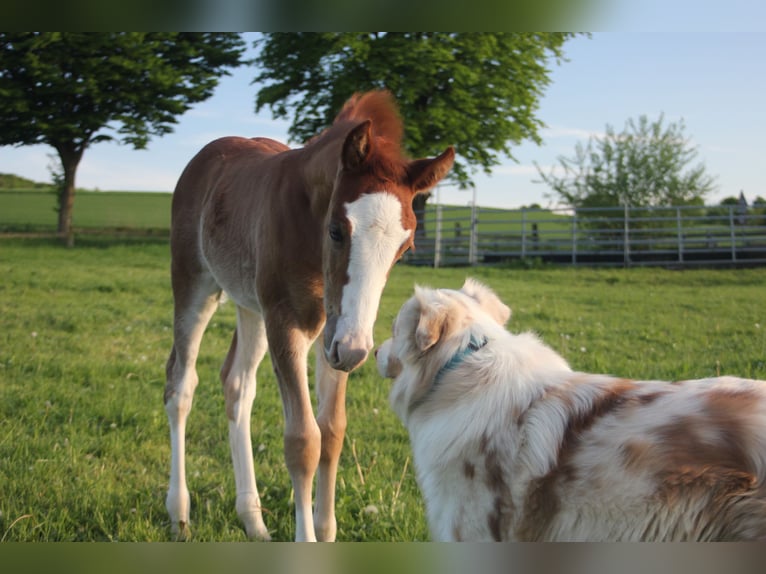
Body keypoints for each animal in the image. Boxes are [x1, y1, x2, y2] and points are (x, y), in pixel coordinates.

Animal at [163, 90, 454, 541]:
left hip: (252, 307)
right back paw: (179, 513)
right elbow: (303, 441)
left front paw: (325, 529)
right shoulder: (288, 324)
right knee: (181, 383)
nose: (356, 351)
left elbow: (332, 431)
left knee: (237, 385)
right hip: (195, 283)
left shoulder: (333, 333)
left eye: (404, 248)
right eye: (336, 230)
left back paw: (253, 520)